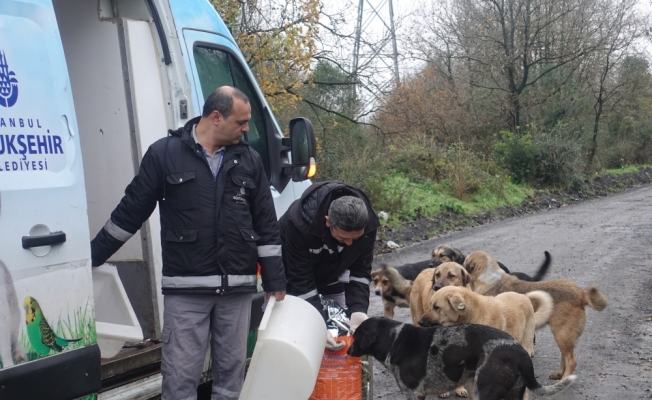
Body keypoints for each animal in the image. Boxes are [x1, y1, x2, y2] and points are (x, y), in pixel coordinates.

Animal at [346, 318, 576, 400]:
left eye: (355, 337)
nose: (347, 352)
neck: (395, 340)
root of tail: (519, 352)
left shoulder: (413, 393)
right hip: (512, 394)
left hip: (485, 391)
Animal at [464, 252, 608, 380]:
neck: (489, 278)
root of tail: (582, 294)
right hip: (563, 335)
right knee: (565, 356)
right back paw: (559, 374)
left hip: (561, 333)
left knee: (571, 361)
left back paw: (563, 380)